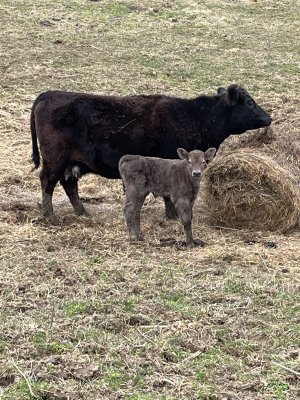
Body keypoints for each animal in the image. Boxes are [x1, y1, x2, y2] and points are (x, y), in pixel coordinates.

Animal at [30, 82, 272, 217]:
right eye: (250, 103)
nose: (268, 118)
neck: (194, 117)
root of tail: (50, 94)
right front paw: (173, 216)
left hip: (71, 164)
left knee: (69, 185)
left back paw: (83, 213)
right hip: (54, 160)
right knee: (47, 182)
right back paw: (49, 215)